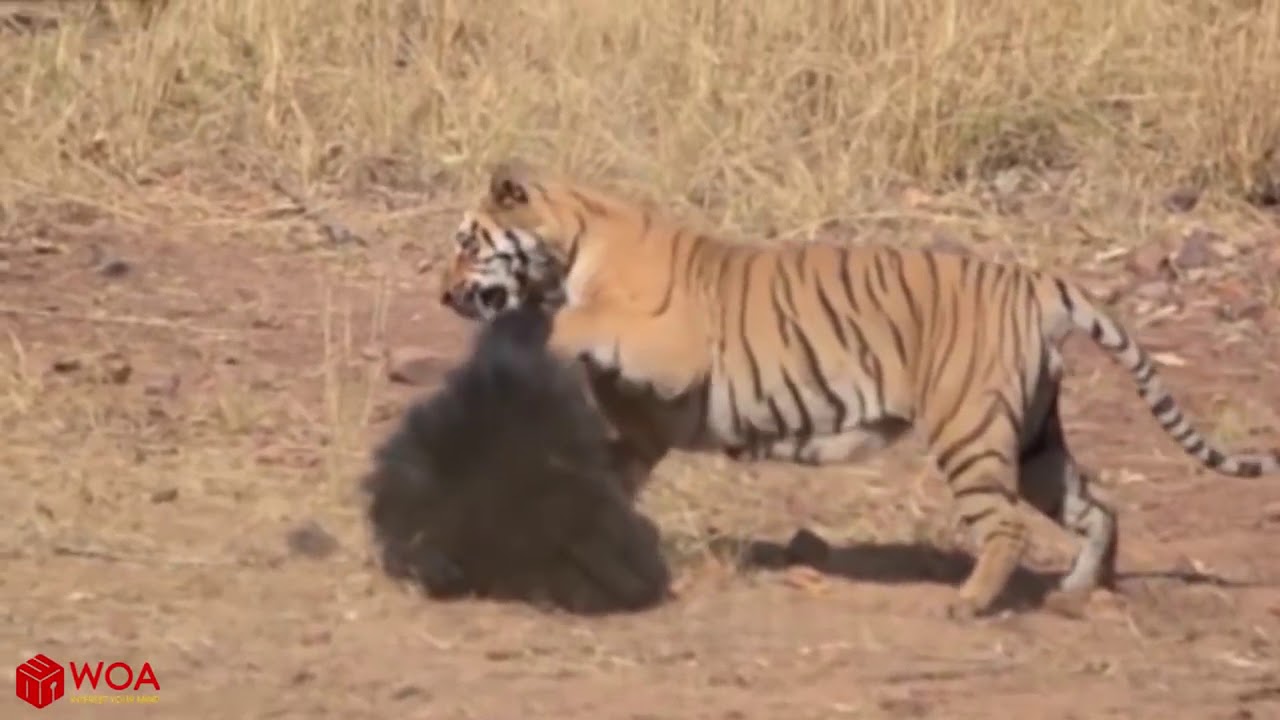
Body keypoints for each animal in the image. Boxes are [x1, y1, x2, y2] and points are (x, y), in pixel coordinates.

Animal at [436, 159, 1280, 620]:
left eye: (467, 244)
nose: (443, 296)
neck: (577, 240)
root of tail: (1037, 279)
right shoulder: (645, 428)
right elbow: (609, 466)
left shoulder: (671, 347)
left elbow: (576, 322)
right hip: (1038, 440)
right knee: (1098, 507)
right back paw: (1075, 589)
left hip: (970, 433)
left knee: (1007, 525)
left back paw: (971, 602)